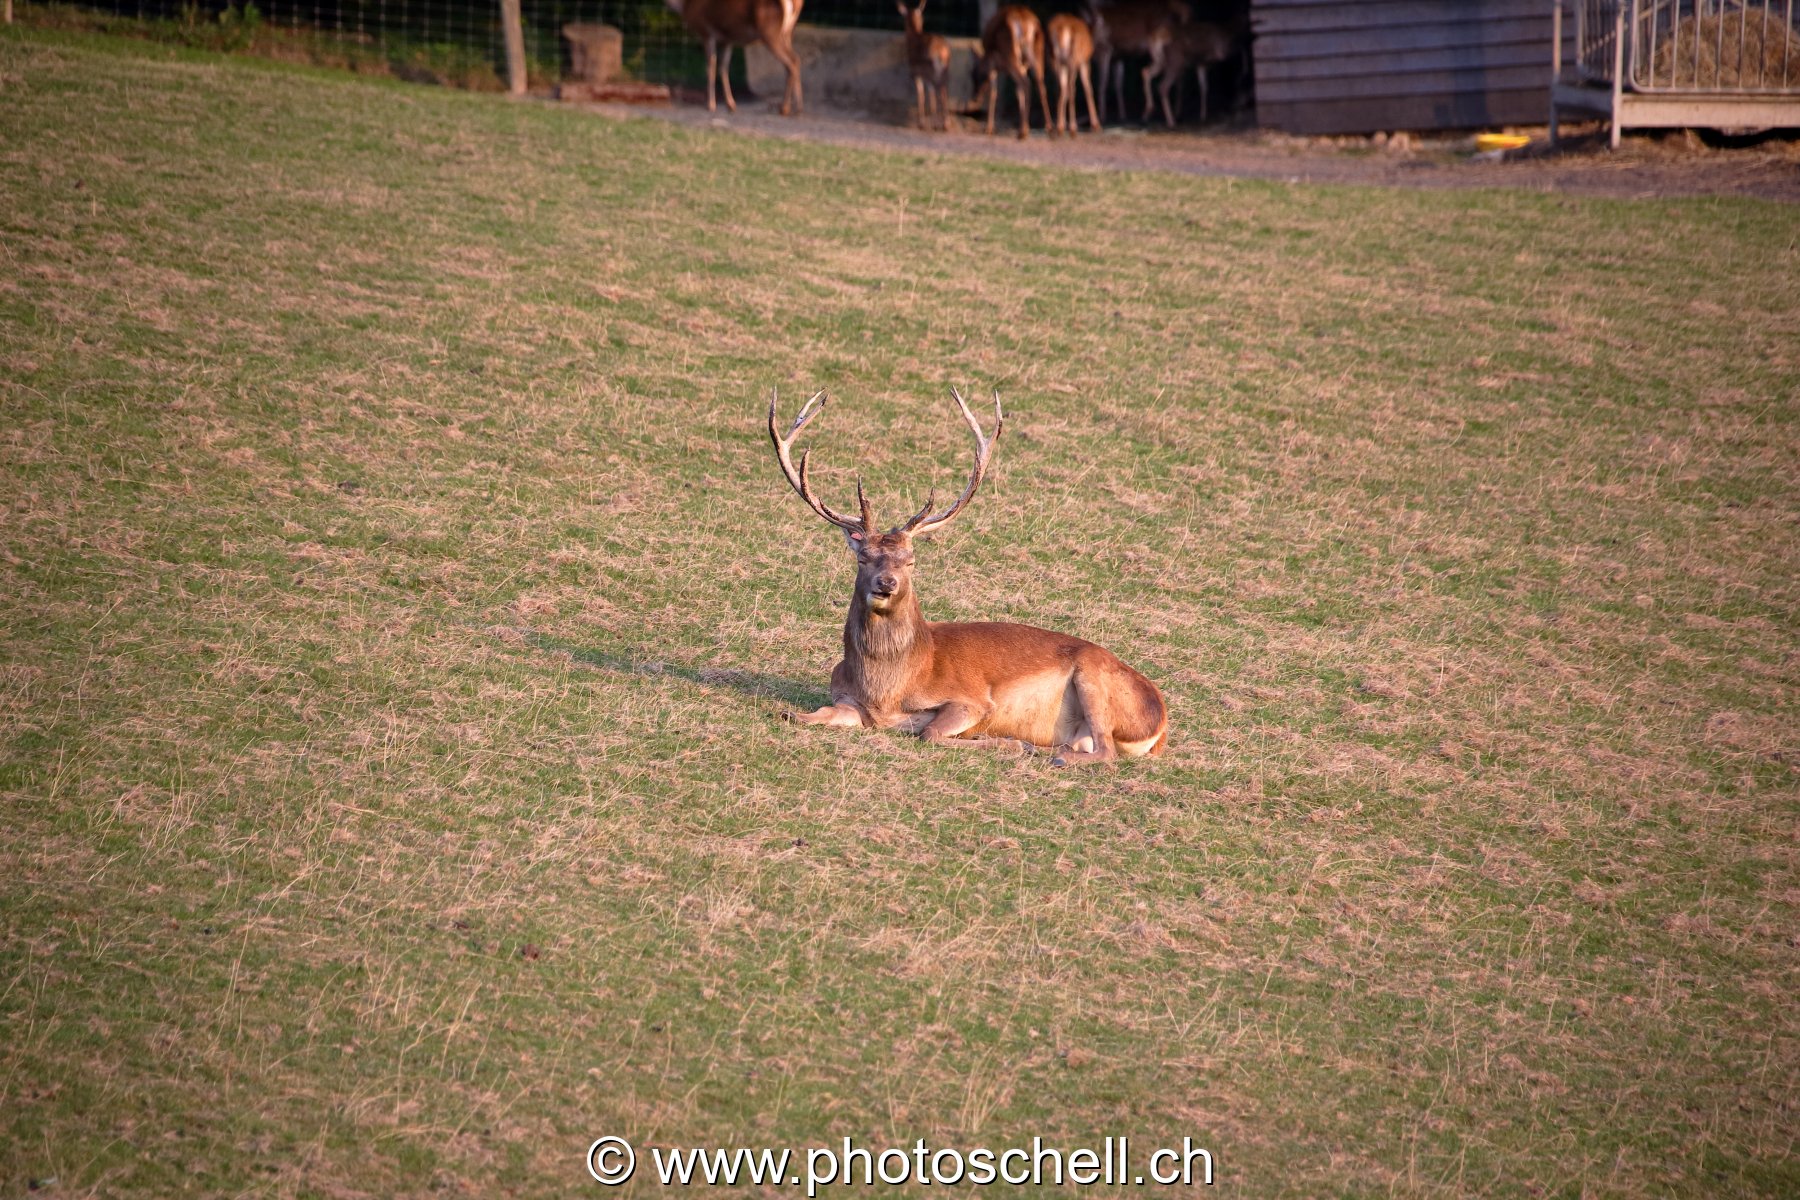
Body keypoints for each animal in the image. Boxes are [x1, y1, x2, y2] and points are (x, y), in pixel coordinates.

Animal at [664, 0, 805, 117]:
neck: (683, 5)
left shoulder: (706, 31)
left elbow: (710, 67)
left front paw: (711, 105)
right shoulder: (727, 39)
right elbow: (723, 67)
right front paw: (731, 104)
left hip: (770, 31)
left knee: (792, 61)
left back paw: (785, 108)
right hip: (787, 33)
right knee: (795, 60)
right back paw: (797, 108)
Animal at [767, 388, 1170, 767]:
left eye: (911, 560)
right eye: (863, 557)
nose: (886, 584)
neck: (888, 691)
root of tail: (1160, 723)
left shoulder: (972, 699)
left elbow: (930, 732)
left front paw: (1007, 743)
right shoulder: (847, 699)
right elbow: (810, 714)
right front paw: (789, 712)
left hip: (1095, 676)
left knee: (1106, 749)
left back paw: (1050, 753)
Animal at [898, 0, 952, 132]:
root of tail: (942, 51)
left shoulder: (916, 73)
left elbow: (921, 95)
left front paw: (921, 123)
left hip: (931, 71)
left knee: (938, 91)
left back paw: (939, 124)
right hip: (945, 70)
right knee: (944, 89)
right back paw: (945, 123)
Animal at [972, 5, 1054, 140]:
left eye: (974, 75)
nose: (974, 98)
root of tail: (1026, 22)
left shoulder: (992, 64)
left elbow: (993, 92)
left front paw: (989, 129)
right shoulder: (1023, 65)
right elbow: (1018, 92)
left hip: (1010, 49)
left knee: (1026, 82)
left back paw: (1022, 132)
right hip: (1037, 51)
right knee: (1039, 84)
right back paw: (1047, 128)